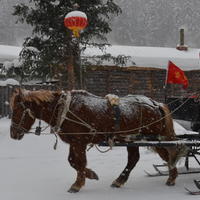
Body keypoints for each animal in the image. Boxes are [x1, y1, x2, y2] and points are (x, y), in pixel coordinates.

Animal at [9, 88, 184, 192]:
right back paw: (120, 180)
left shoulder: (79, 142)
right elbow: (72, 161)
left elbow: (79, 162)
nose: (13, 134)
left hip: (154, 137)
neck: (65, 110)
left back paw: (172, 177)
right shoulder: (75, 142)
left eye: (17, 109)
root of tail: (155, 104)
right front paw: (91, 174)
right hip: (133, 140)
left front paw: (78, 184)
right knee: (135, 159)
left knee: (168, 153)